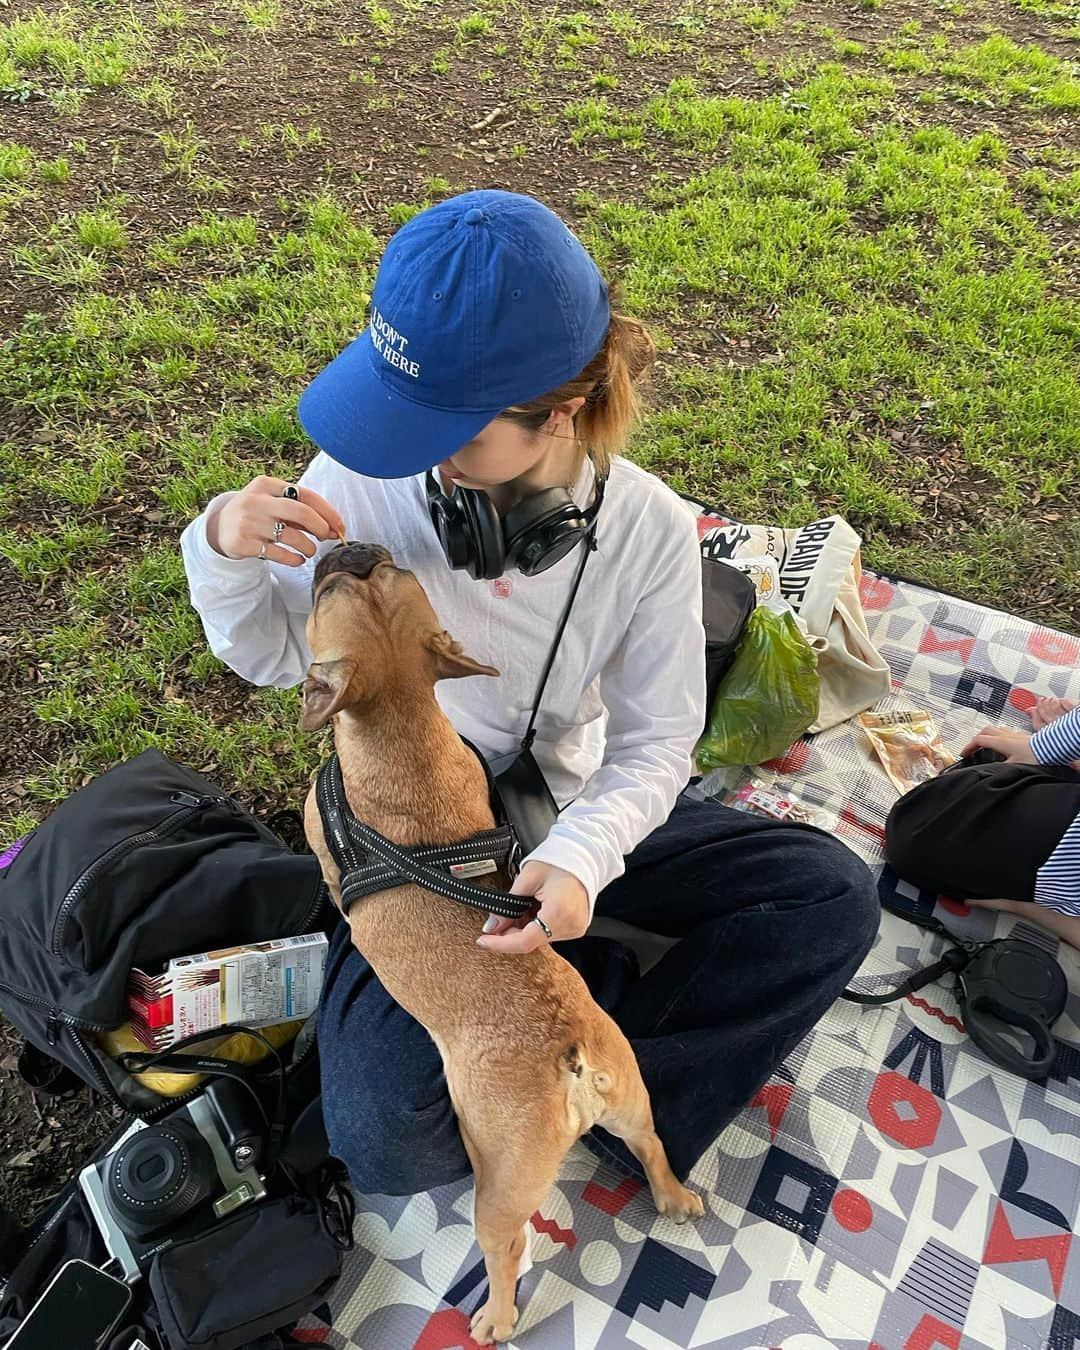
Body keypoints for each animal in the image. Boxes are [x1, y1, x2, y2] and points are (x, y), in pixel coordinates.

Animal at [299, 542, 702, 1344]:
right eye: (385, 573)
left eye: (328, 591)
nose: (352, 546)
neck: (403, 725)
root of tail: (572, 1056)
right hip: (632, 1093)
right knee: (651, 1144)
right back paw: (673, 1196)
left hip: (500, 1178)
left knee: (507, 1246)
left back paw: (496, 1317)